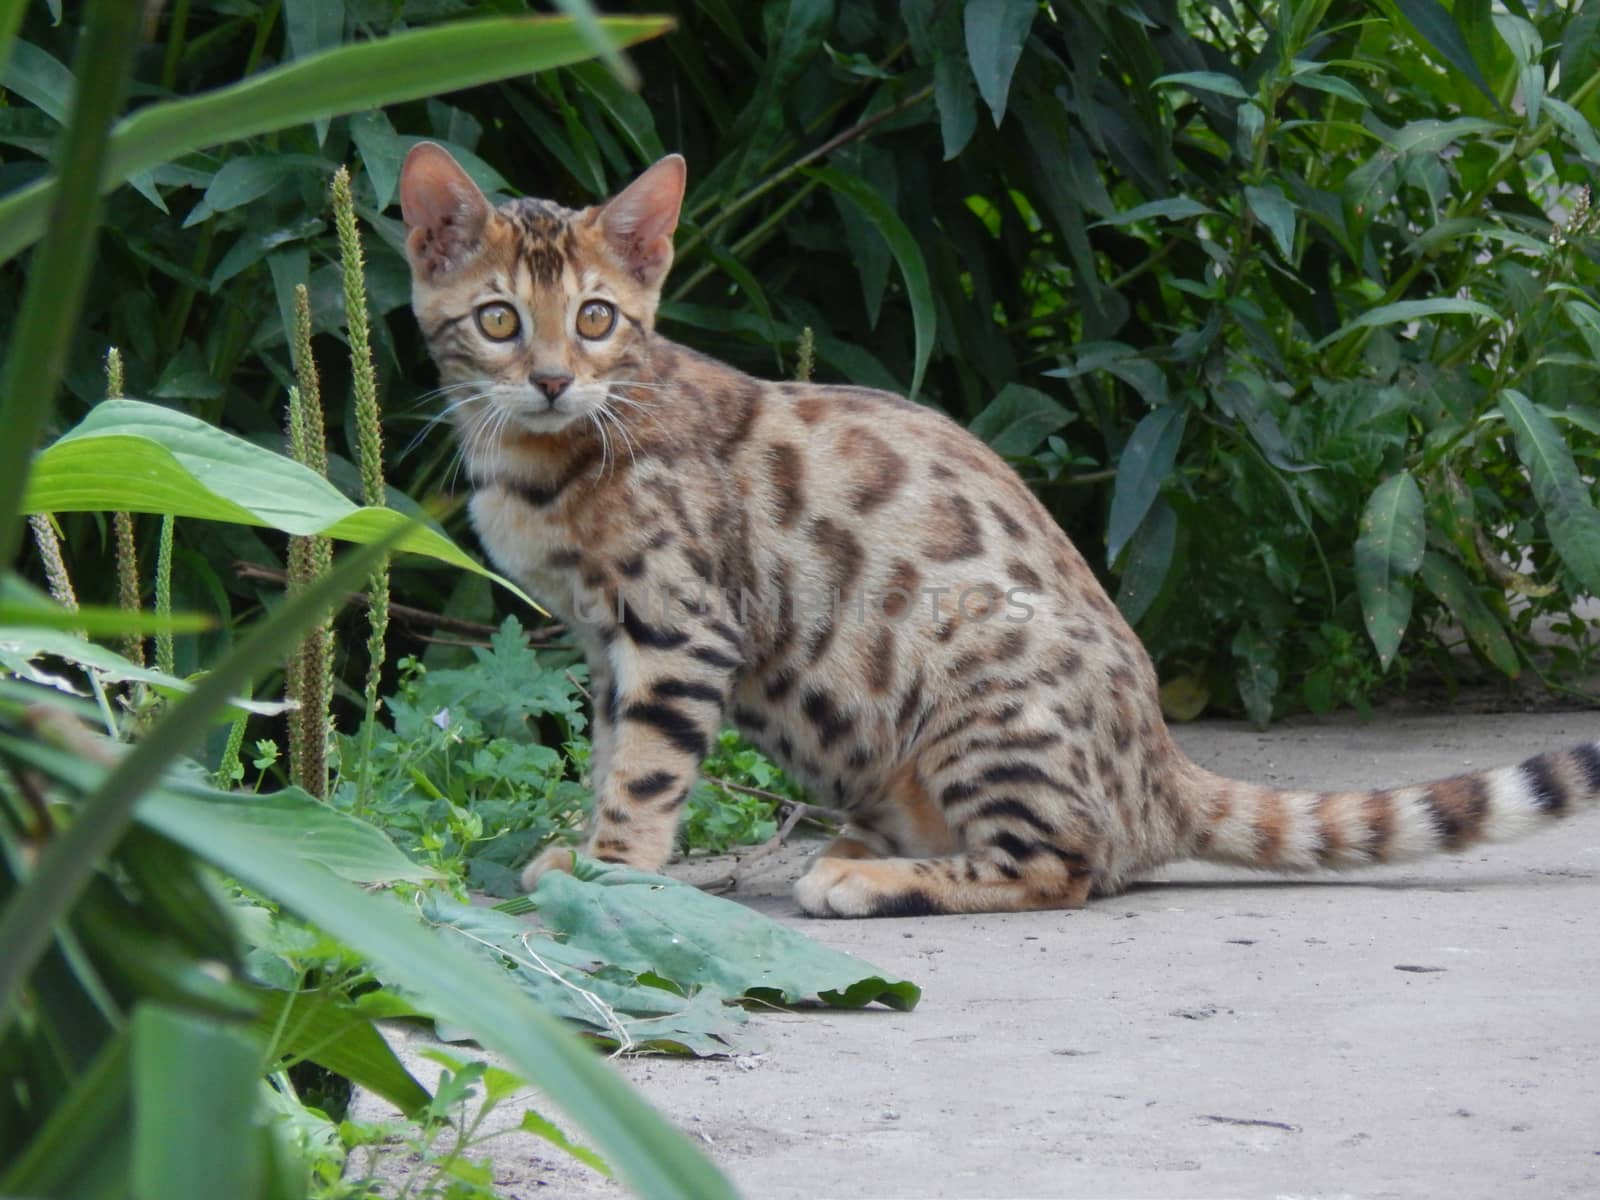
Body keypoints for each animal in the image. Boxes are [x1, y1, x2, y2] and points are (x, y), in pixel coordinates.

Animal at [396, 145, 1600, 928]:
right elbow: (610, 756)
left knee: (1068, 867)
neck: (547, 460)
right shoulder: (608, 646)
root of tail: (1163, 772)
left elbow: (645, 775)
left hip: (979, 676)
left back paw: (870, 881)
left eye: (596, 318)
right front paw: (583, 847)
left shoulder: (677, 628)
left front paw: (610, 872)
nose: (554, 380)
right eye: (500, 320)